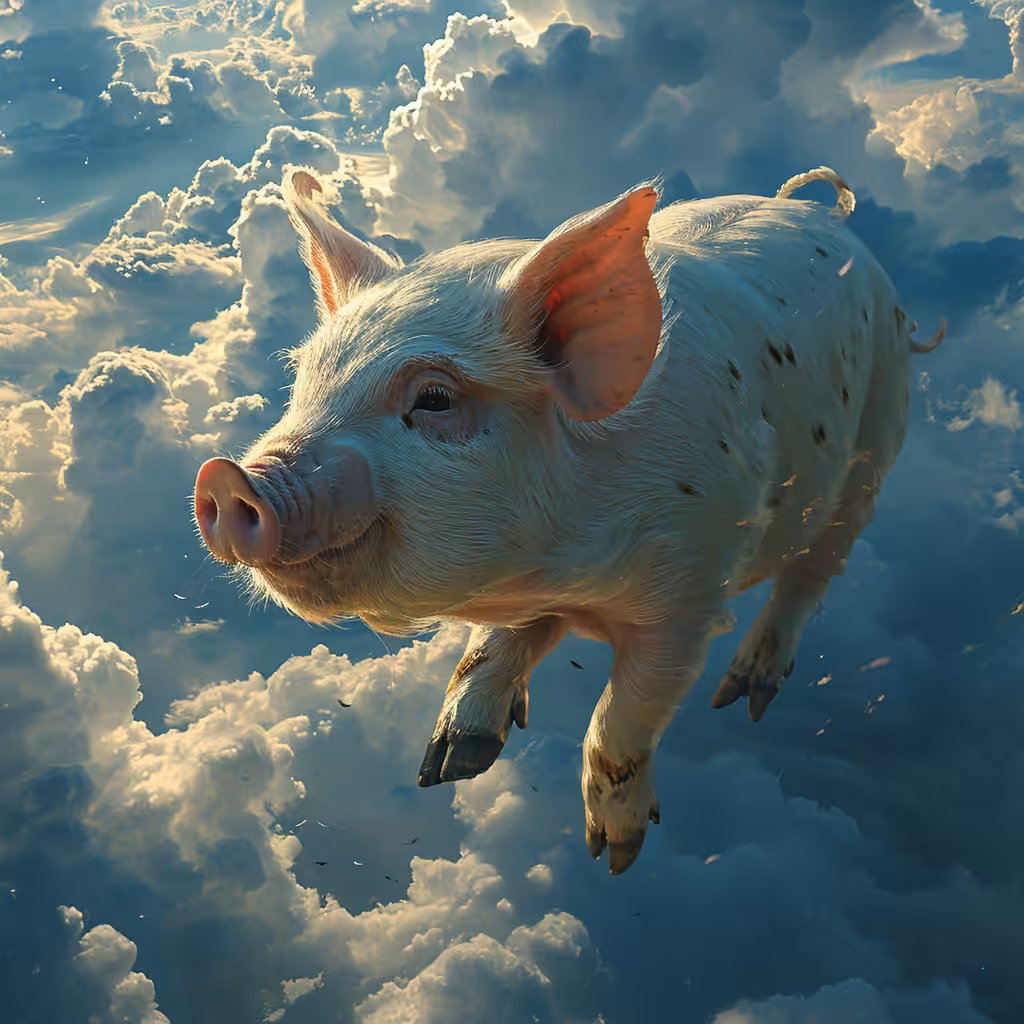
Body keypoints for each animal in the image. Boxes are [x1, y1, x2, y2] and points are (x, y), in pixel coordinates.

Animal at [193, 165, 945, 874]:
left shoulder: (690, 595)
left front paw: (613, 857)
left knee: (813, 572)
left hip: (878, 438)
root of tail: (821, 215)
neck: (562, 574)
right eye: (303, 385)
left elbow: (623, 720)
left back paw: (741, 696)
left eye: (434, 399)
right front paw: (444, 769)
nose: (227, 480)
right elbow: (497, 642)